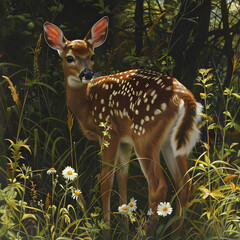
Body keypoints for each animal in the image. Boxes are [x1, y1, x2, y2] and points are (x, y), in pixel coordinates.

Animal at [43, 16, 202, 238]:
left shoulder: (109, 132)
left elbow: (106, 179)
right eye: (70, 58)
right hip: (171, 142)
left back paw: (145, 233)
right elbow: (122, 177)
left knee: (159, 186)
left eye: (92, 55)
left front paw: (106, 230)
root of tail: (184, 96)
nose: (87, 73)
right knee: (184, 183)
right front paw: (124, 226)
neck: (86, 103)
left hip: (144, 134)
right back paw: (175, 233)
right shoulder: (125, 141)